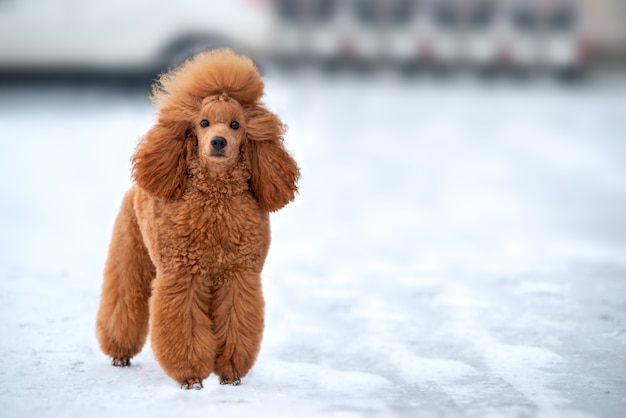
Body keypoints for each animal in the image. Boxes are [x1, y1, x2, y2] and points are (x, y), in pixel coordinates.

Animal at [95, 48, 300, 388]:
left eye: (235, 124)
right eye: (203, 123)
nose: (218, 142)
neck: (215, 202)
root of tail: (138, 185)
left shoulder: (238, 275)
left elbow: (236, 323)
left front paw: (230, 375)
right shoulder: (183, 275)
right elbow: (185, 326)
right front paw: (191, 378)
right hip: (131, 251)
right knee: (123, 298)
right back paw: (119, 354)